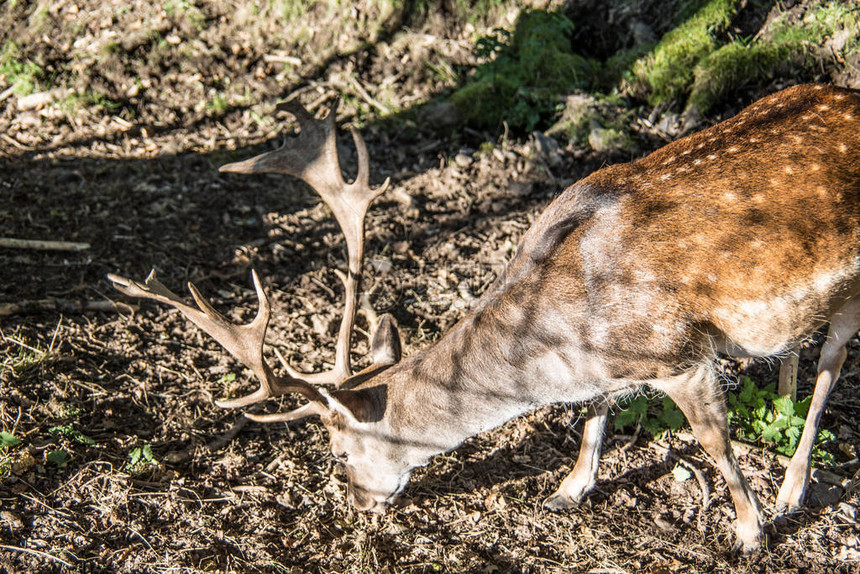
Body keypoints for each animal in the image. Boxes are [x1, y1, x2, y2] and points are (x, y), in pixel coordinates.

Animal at [106, 84, 860, 552]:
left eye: (339, 451)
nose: (356, 503)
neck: (568, 335)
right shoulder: (613, 367)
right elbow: (596, 412)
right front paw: (568, 490)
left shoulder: (678, 354)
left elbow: (716, 446)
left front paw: (750, 534)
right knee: (803, 350)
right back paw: (782, 398)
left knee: (835, 360)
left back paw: (792, 490)